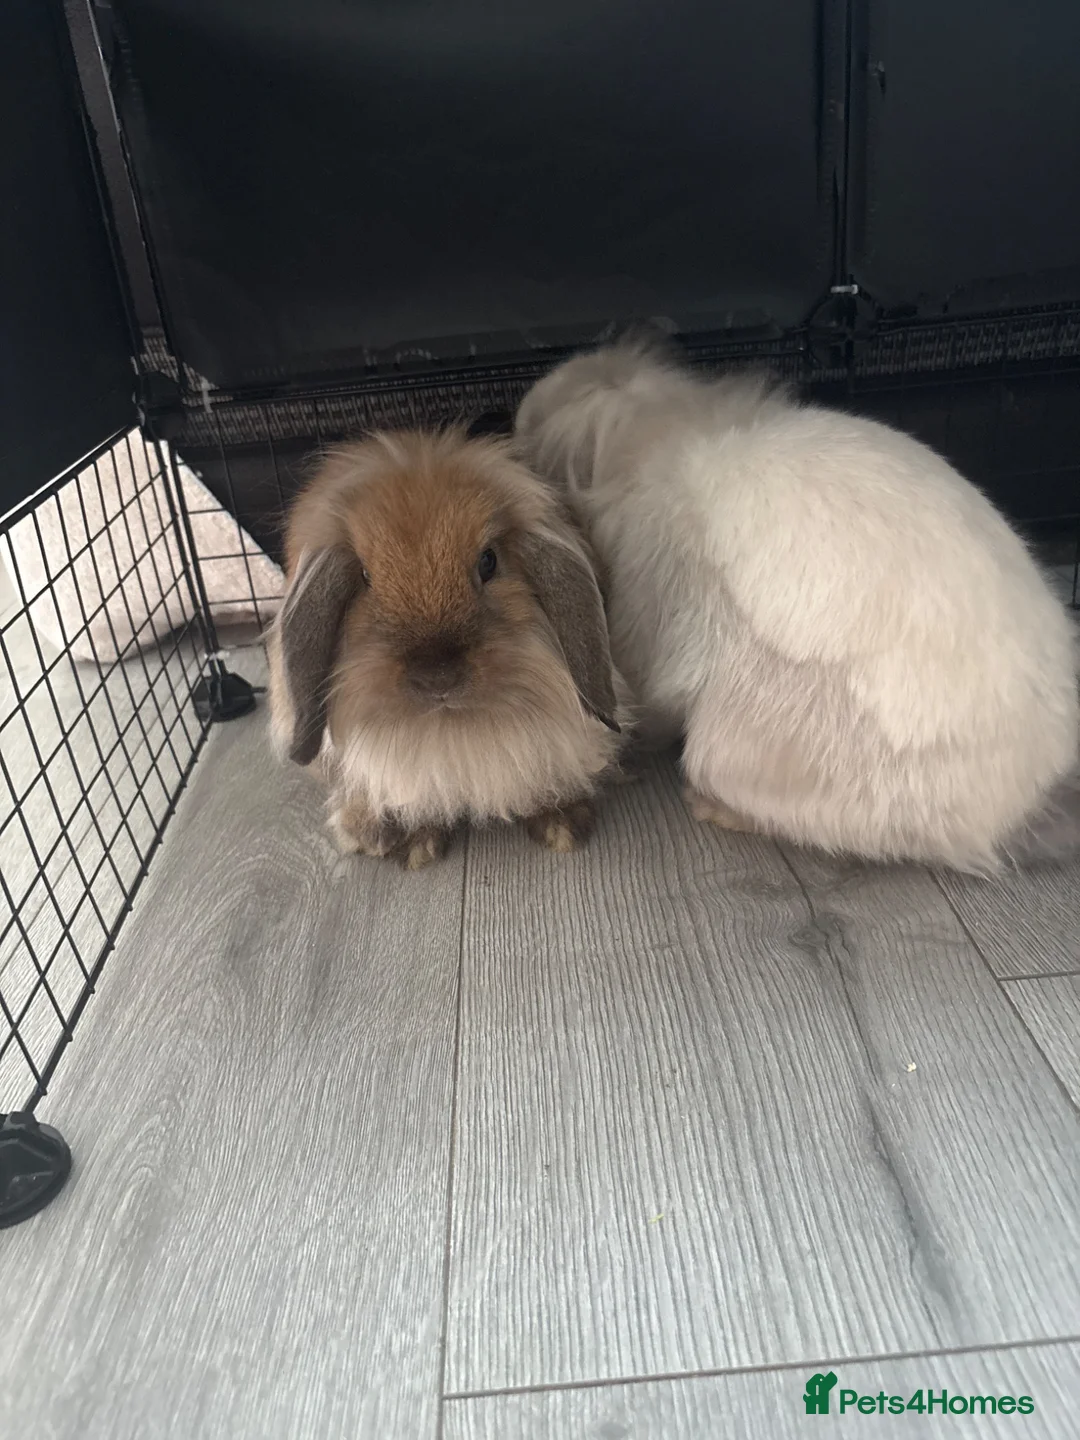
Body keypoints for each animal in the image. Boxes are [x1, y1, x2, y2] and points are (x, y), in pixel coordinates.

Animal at [266, 428, 630, 868]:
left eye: (489, 562)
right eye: (366, 577)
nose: (437, 677)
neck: (450, 731)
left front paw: (561, 826)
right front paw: (416, 846)